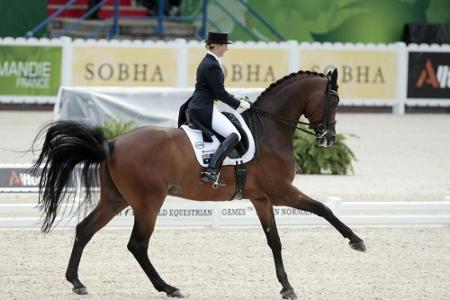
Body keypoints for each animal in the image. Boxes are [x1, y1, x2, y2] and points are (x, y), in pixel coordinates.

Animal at [34, 69, 366, 298]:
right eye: (334, 100)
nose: (328, 139)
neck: (269, 131)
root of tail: (112, 143)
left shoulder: (262, 199)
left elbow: (275, 241)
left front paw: (286, 286)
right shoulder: (281, 191)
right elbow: (323, 209)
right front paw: (356, 241)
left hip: (116, 199)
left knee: (85, 229)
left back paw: (77, 282)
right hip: (148, 202)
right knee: (137, 244)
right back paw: (168, 288)